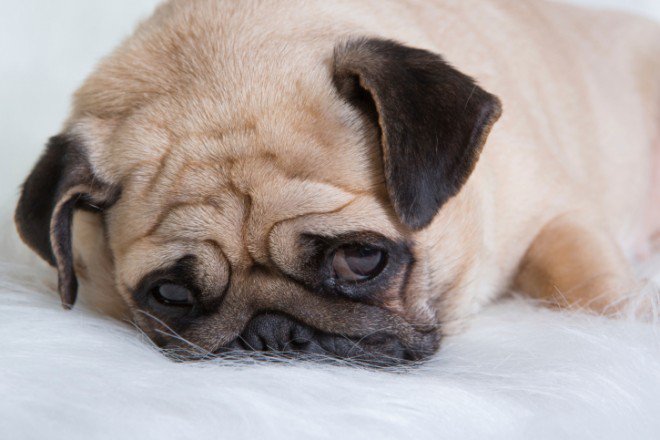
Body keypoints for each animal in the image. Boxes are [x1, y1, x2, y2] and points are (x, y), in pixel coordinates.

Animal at [12, 0, 656, 364]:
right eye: (169, 295)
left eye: (363, 260)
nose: (270, 331)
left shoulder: (558, 214)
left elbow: (591, 287)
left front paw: (625, 323)